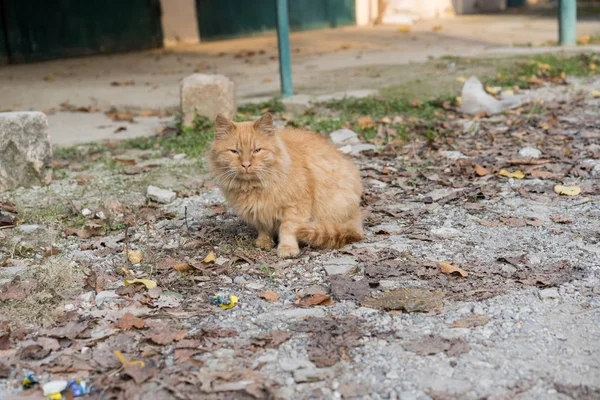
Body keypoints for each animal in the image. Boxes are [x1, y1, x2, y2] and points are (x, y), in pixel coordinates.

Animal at [209, 112, 364, 258]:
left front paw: (287, 248)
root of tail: (357, 215)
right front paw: (264, 241)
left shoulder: (295, 206)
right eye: (234, 151)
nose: (246, 165)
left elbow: (288, 229)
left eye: (257, 150)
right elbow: (263, 228)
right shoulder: (260, 211)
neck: (253, 187)